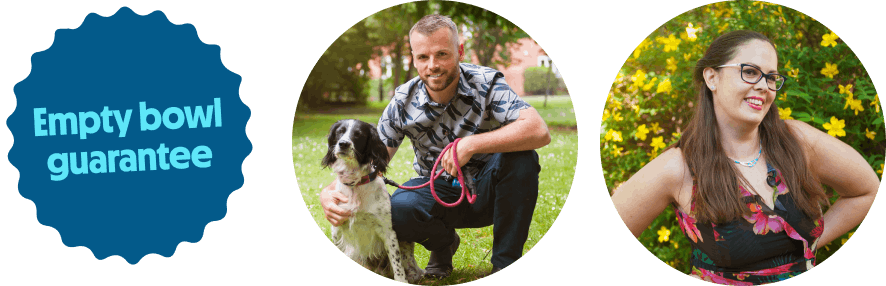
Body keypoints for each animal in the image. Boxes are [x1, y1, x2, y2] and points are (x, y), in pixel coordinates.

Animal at [322, 119, 426, 284]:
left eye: (358, 134)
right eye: (340, 131)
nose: (343, 144)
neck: (355, 184)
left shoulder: (388, 232)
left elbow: (396, 263)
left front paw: (401, 280)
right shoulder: (337, 229)